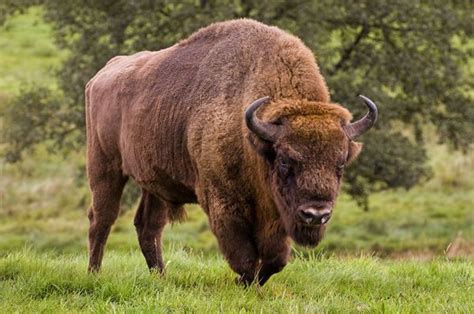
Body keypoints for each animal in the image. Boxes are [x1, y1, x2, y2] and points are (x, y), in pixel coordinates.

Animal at [85, 18, 378, 286]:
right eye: (285, 161)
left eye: (340, 164)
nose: (316, 215)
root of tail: (102, 75)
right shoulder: (224, 203)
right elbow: (244, 255)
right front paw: (243, 282)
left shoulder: (275, 214)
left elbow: (275, 260)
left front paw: (252, 282)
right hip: (104, 167)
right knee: (102, 218)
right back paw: (94, 274)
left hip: (154, 182)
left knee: (148, 226)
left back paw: (161, 278)